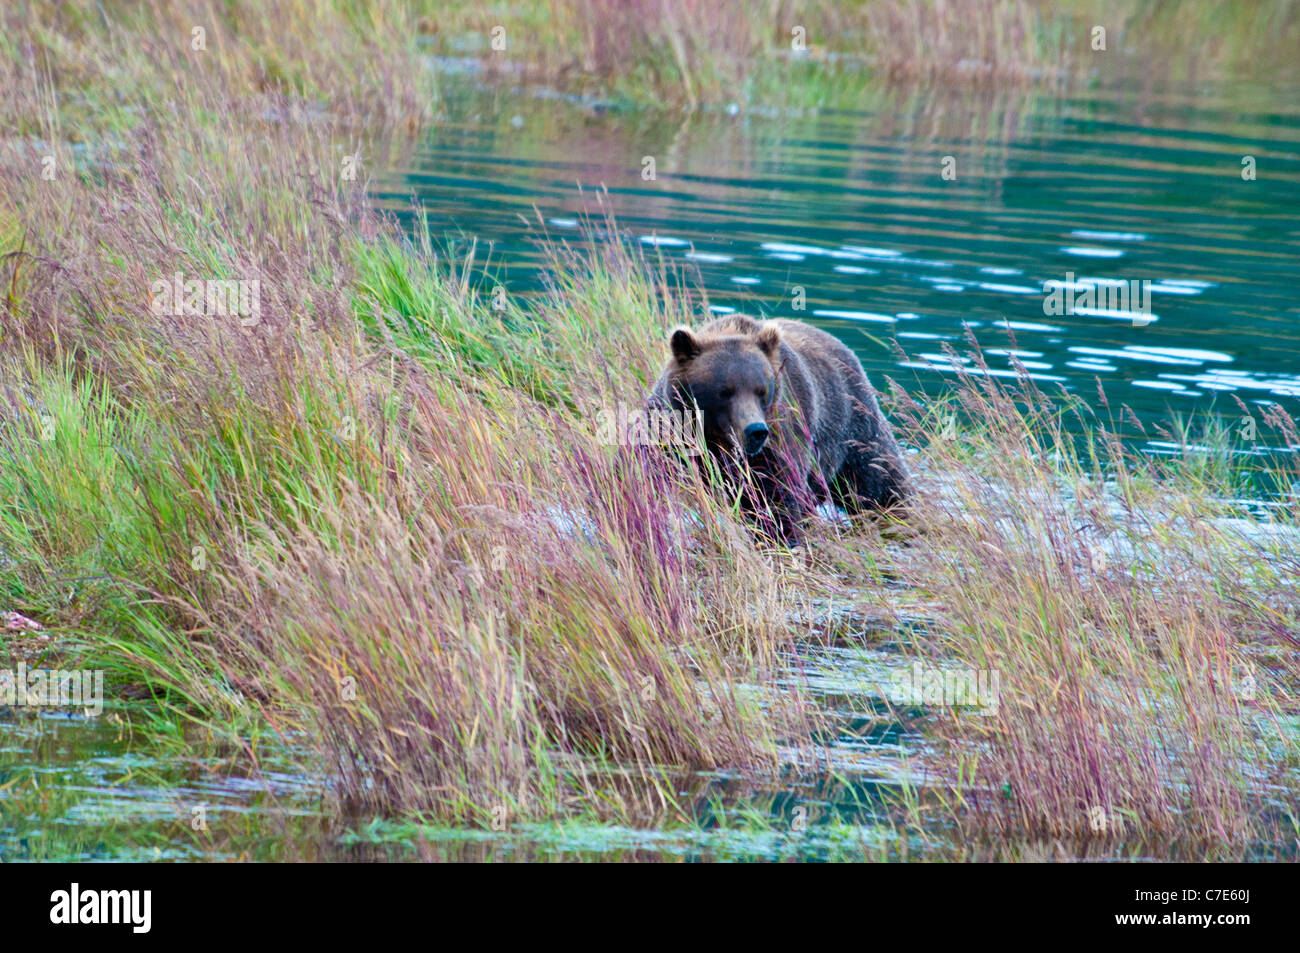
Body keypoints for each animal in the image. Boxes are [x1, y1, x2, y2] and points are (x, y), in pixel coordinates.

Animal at [644, 314, 909, 543]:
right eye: (724, 391)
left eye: (761, 390)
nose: (755, 431)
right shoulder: (668, 430)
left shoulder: (779, 444)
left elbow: (778, 500)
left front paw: (779, 538)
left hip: (856, 427)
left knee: (881, 483)